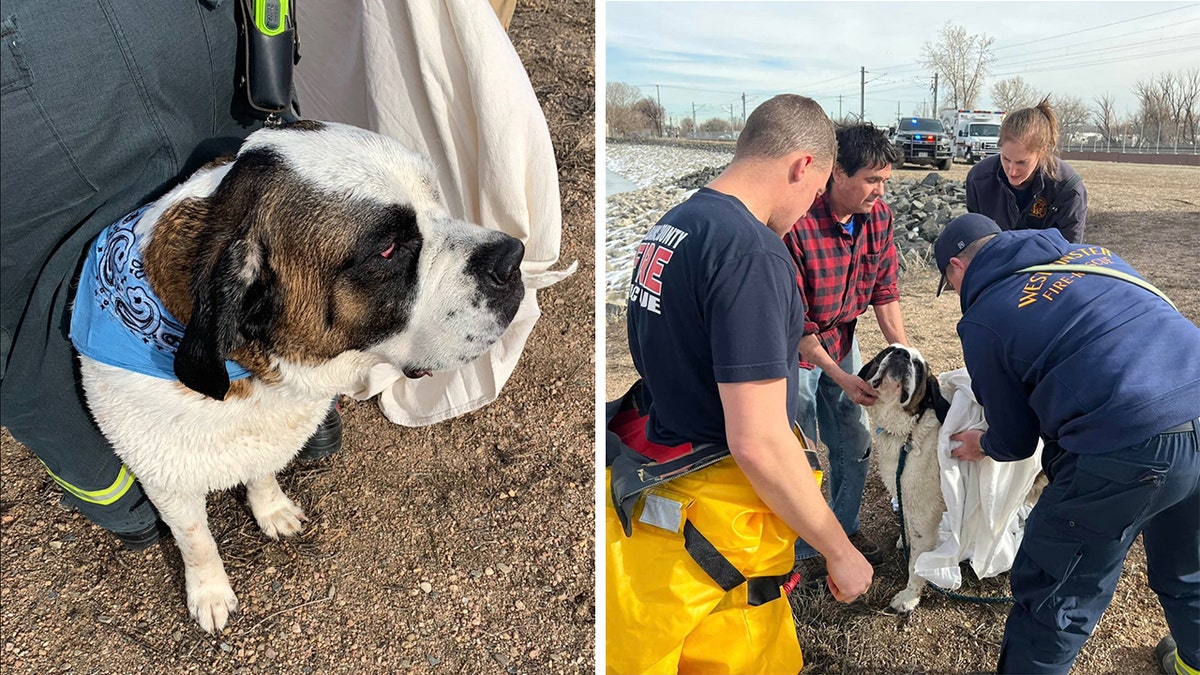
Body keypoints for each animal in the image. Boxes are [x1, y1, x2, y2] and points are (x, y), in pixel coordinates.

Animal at [75, 120, 525, 629]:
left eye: (436, 199)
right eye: (389, 249)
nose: (513, 257)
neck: (254, 372)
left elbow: (262, 473)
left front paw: (271, 509)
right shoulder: (166, 480)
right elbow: (195, 539)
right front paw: (209, 592)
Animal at [859, 341, 950, 610]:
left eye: (918, 367)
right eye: (887, 351)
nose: (901, 355)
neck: (908, 432)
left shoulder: (924, 518)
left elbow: (915, 565)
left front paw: (909, 598)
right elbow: (906, 527)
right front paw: (903, 540)